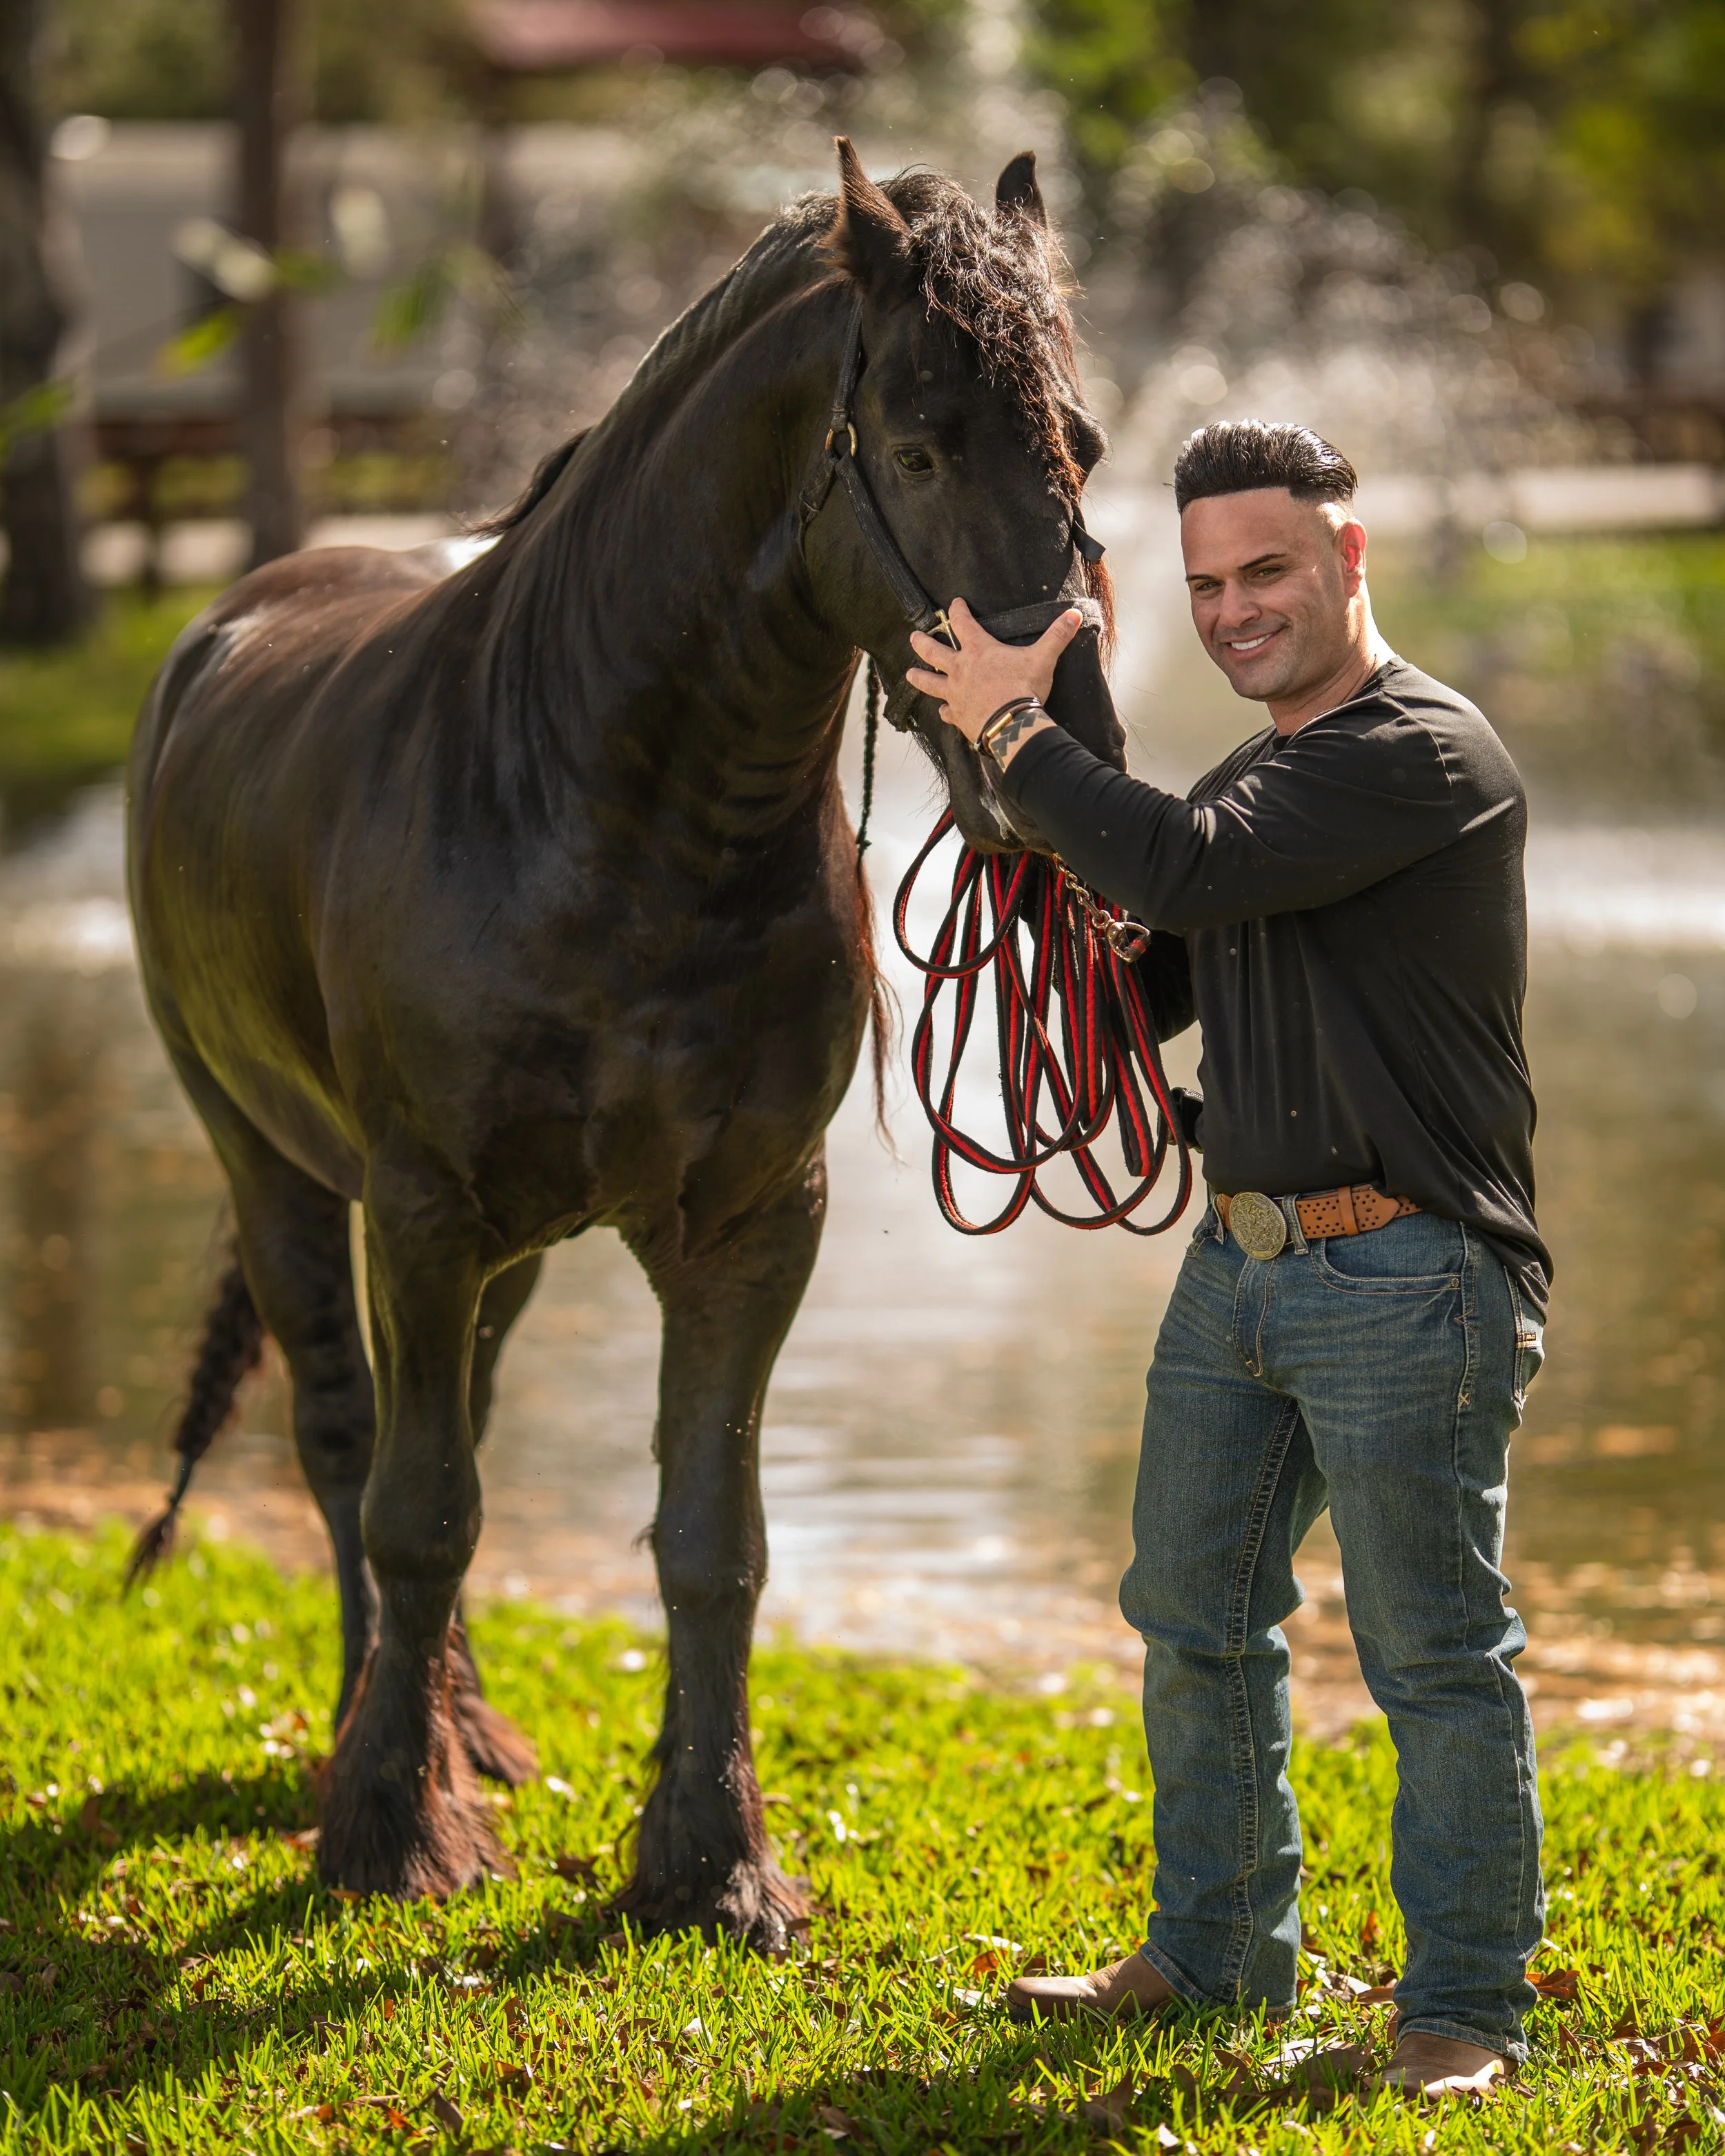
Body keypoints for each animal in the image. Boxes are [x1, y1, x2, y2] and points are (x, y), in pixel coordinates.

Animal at [125, 139, 1121, 1947]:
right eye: (921, 445)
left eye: (1079, 446)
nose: (1066, 750)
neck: (603, 808)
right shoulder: (423, 1208)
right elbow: (416, 1510)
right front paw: (390, 1829)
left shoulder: (749, 1223)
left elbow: (709, 1537)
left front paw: (710, 1857)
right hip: (285, 1178)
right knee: (346, 1442)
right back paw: (383, 1738)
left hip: (500, 1252)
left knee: (444, 1426)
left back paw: (464, 1728)